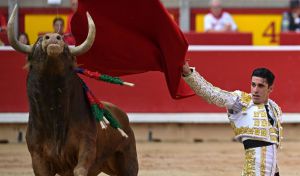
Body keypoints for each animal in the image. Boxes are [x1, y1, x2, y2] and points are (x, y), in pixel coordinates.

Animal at [7, 4, 138, 175]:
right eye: (38, 41)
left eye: (66, 48)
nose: (53, 38)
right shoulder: (37, 156)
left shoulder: (87, 145)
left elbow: (80, 169)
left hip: (128, 161)